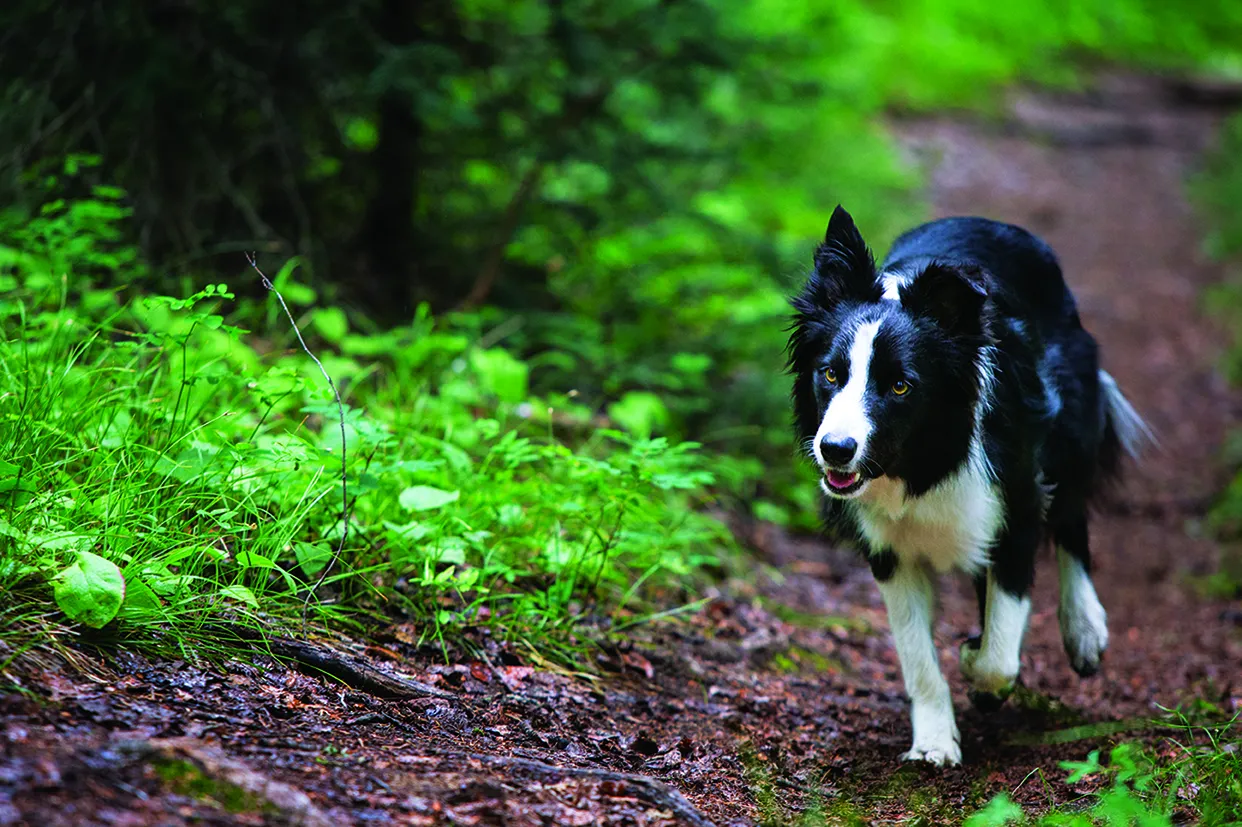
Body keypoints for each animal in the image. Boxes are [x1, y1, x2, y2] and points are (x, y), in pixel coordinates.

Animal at [789, 207, 1147, 764]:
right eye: (829, 374)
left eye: (900, 385)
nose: (836, 449)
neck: (922, 463)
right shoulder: (889, 549)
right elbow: (918, 657)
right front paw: (934, 742)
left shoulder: (1014, 507)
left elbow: (1000, 655)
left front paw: (975, 663)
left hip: (1069, 423)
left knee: (1071, 515)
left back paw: (1085, 629)